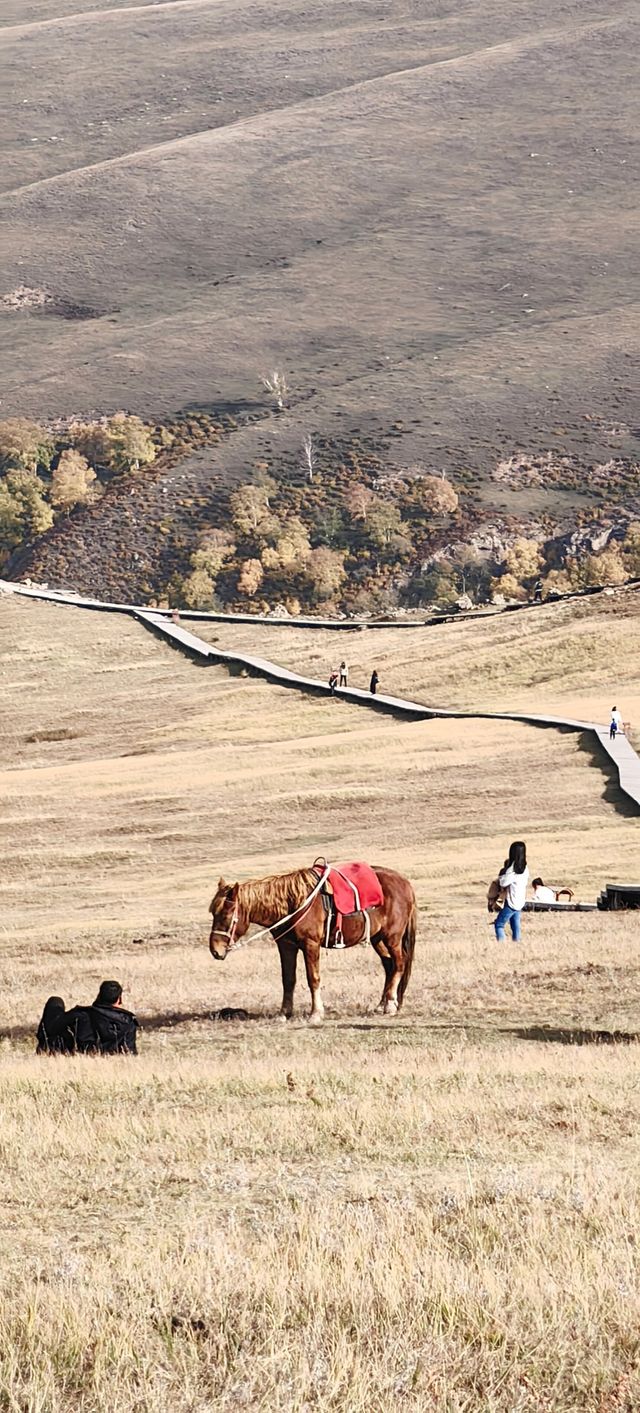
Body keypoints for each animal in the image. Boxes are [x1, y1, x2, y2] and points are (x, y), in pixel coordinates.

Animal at [207, 864, 415, 1023]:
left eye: (225, 915)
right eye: (213, 913)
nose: (215, 950)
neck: (293, 904)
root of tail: (404, 883)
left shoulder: (310, 945)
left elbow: (312, 978)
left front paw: (316, 1013)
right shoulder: (286, 946)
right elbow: (288, 979)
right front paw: (284, 1013)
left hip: (392, 937)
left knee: (399, 964)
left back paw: (390, 1005)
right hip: (377, 938)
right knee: (388, 965)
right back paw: (382, 1004)